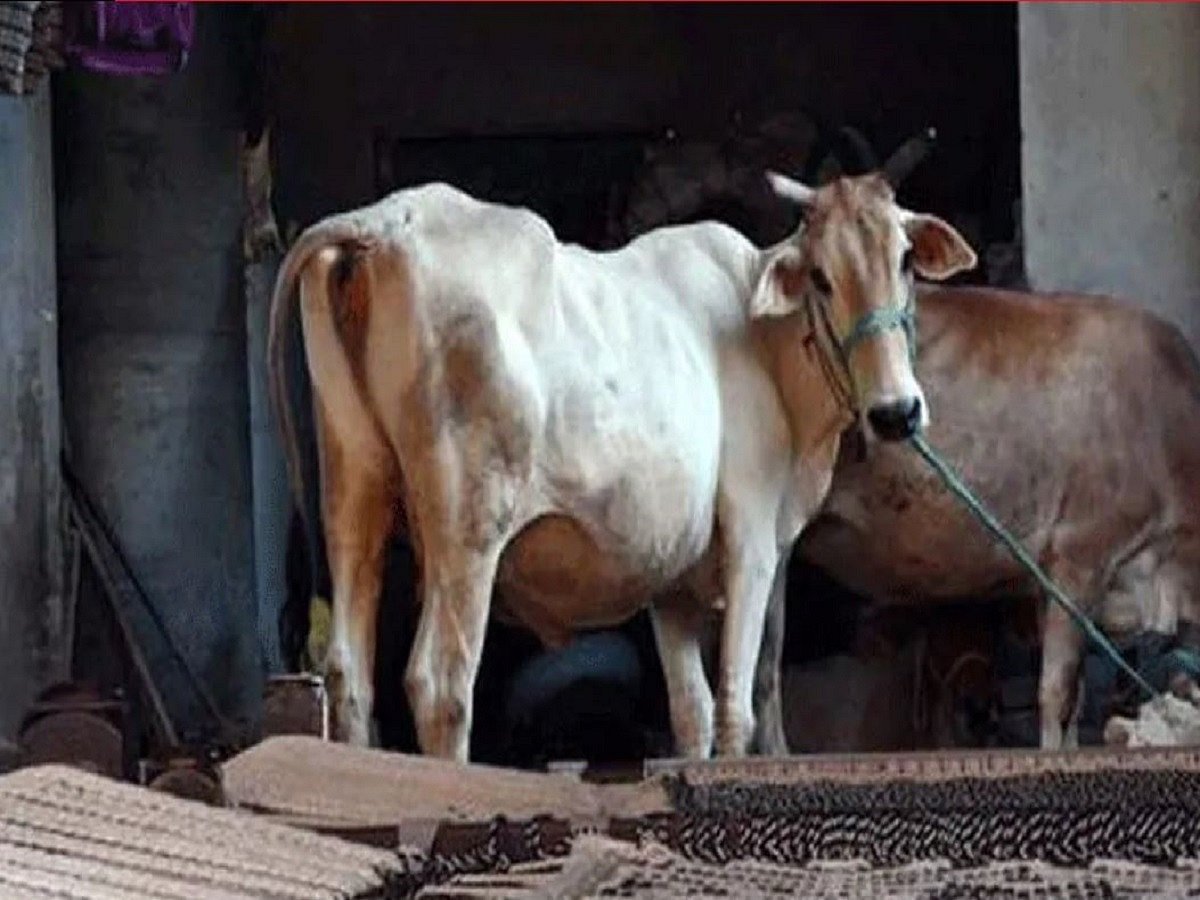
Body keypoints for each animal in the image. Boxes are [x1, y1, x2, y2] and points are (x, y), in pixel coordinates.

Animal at [267, 173, 975, 762]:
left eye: (905, 261)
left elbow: (691, 713)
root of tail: (390, 218)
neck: (767, 344)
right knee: (442, 683)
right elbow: (736, 708)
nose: (896, 412)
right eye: (823, 277)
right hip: (468, 526)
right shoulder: (751, 538)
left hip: (354, 489)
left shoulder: (673, 579)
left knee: (349, 676)